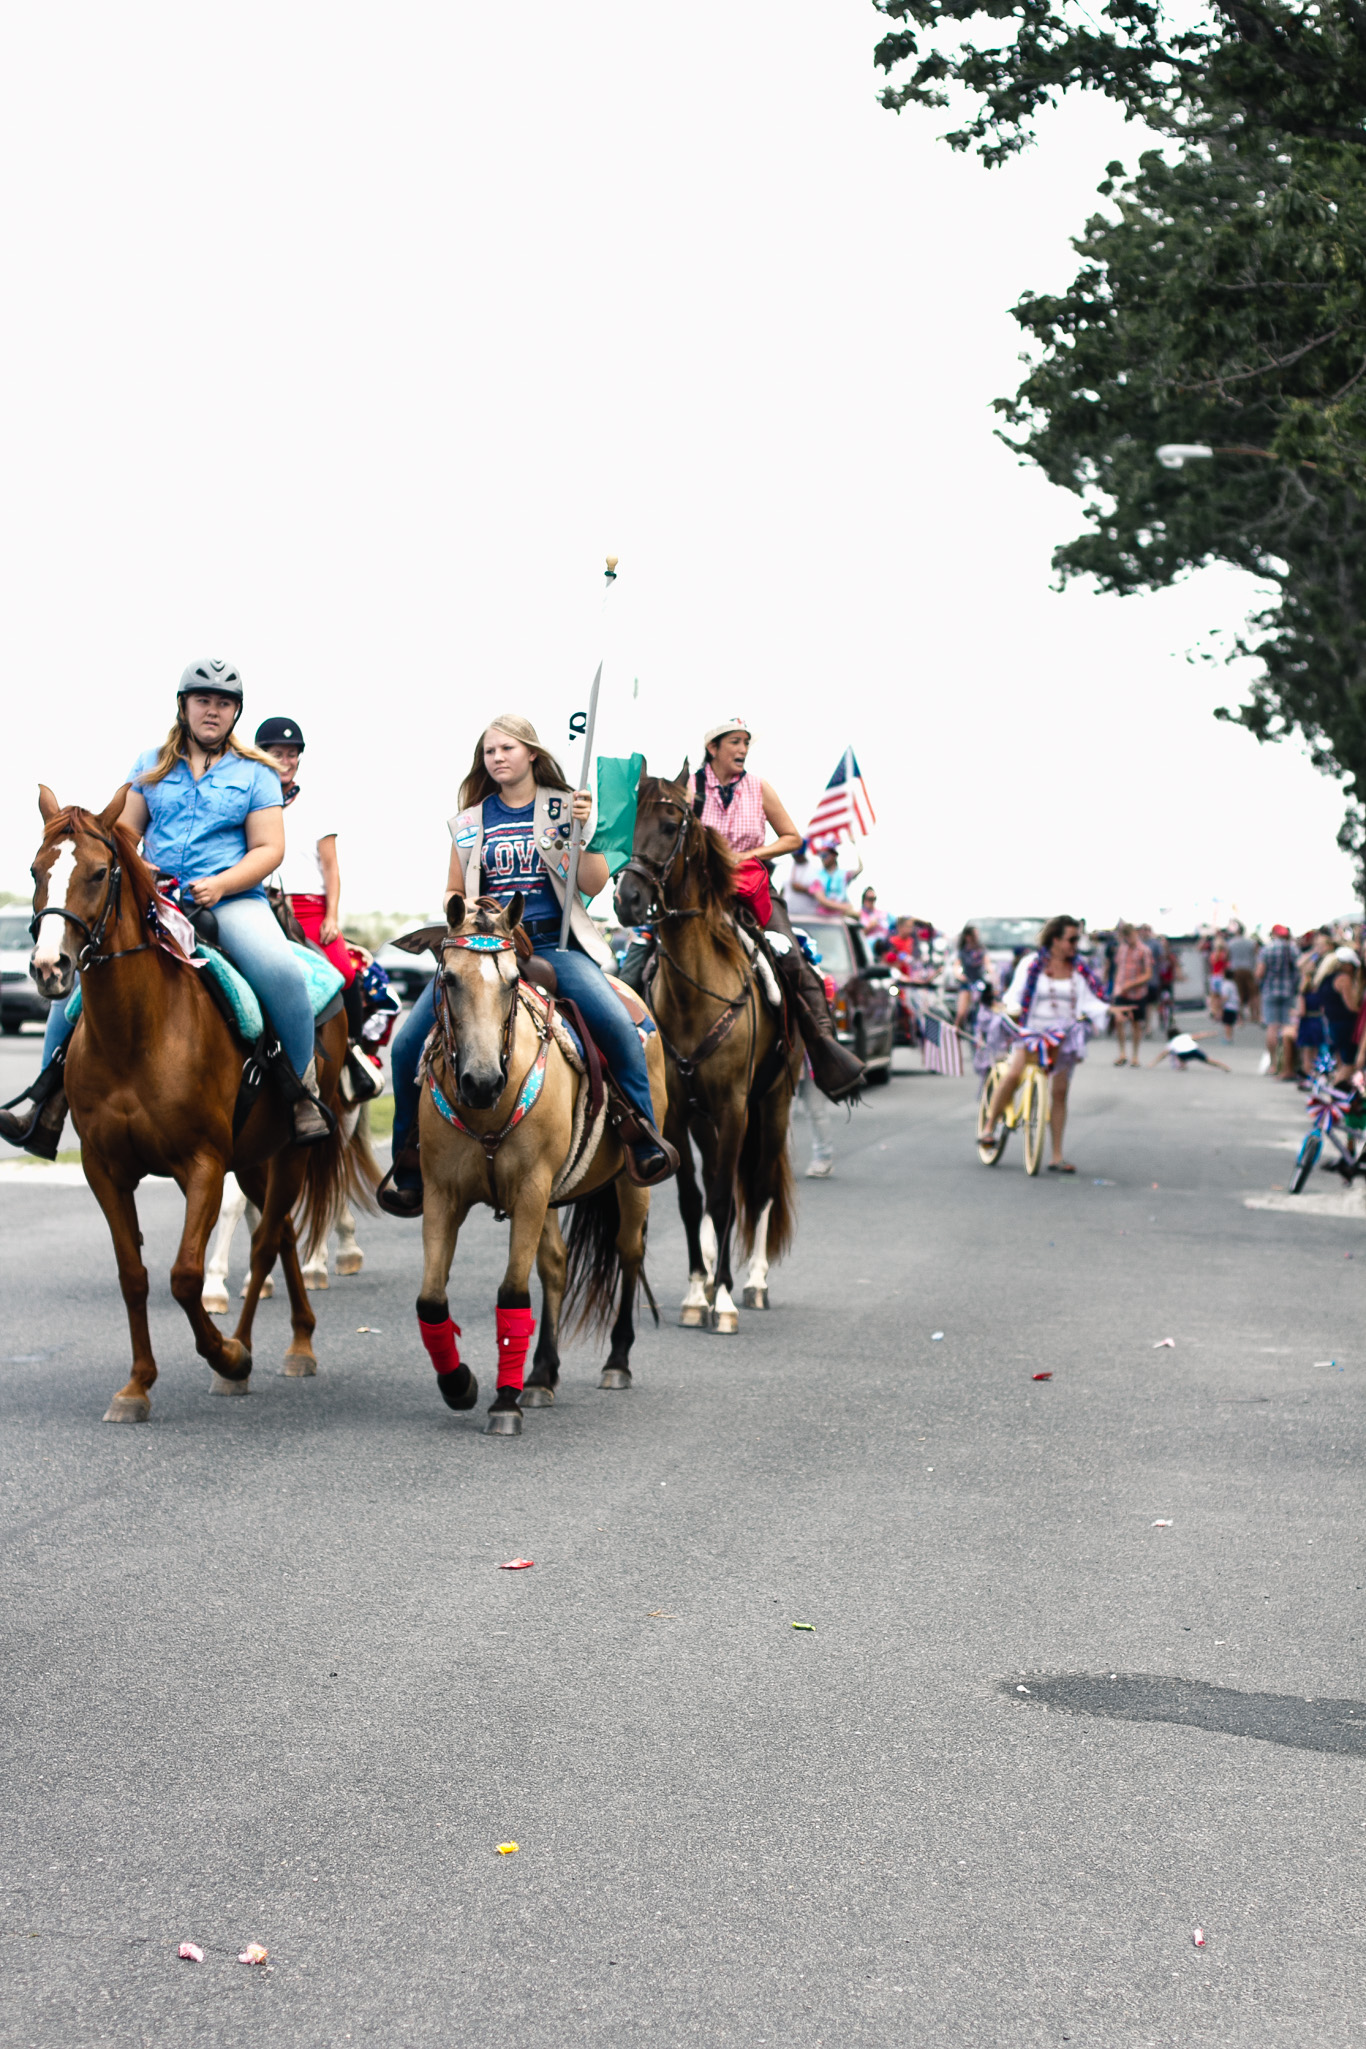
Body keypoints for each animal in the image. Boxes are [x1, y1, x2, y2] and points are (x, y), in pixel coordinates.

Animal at [30, 774, 374, 1417]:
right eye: (37, 868)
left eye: (98, 872)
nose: (48, 967)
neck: (137, 1034)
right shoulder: (104, 1169)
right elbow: (134, 1274)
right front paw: (136, 1386)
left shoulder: (203, 1165)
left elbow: (185, 1275)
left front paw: (226, 1355)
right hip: (255, 1157)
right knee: (279, 1234)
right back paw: (296, 1338)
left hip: (289, 1153)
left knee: (266, 1243)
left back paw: (262, 1351)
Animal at [395, 889, 667, 1434]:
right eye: (447, 978)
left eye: (511, 981)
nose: (481, 1082)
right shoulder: (442, 1194)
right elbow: (431, 1299)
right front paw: (460, 1384)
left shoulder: (530, 1189)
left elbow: (512, 1293)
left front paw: (504, 1401)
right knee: (556, 1266)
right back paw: (541, 1374)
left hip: (630, 1182)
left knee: (629, 1252)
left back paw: (617, 1362)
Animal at [610, 766, 802, 1327]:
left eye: (672, 824)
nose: (628, 900)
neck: (697, 992)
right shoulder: (677, 1113)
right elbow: (693, 1200)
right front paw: (700, 1292)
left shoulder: (737, 1105)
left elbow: (724, 1199)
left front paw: (724, 1301)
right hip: (705, 1116)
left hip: (774, 1103)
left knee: (758, 1190)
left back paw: (754, 1282)